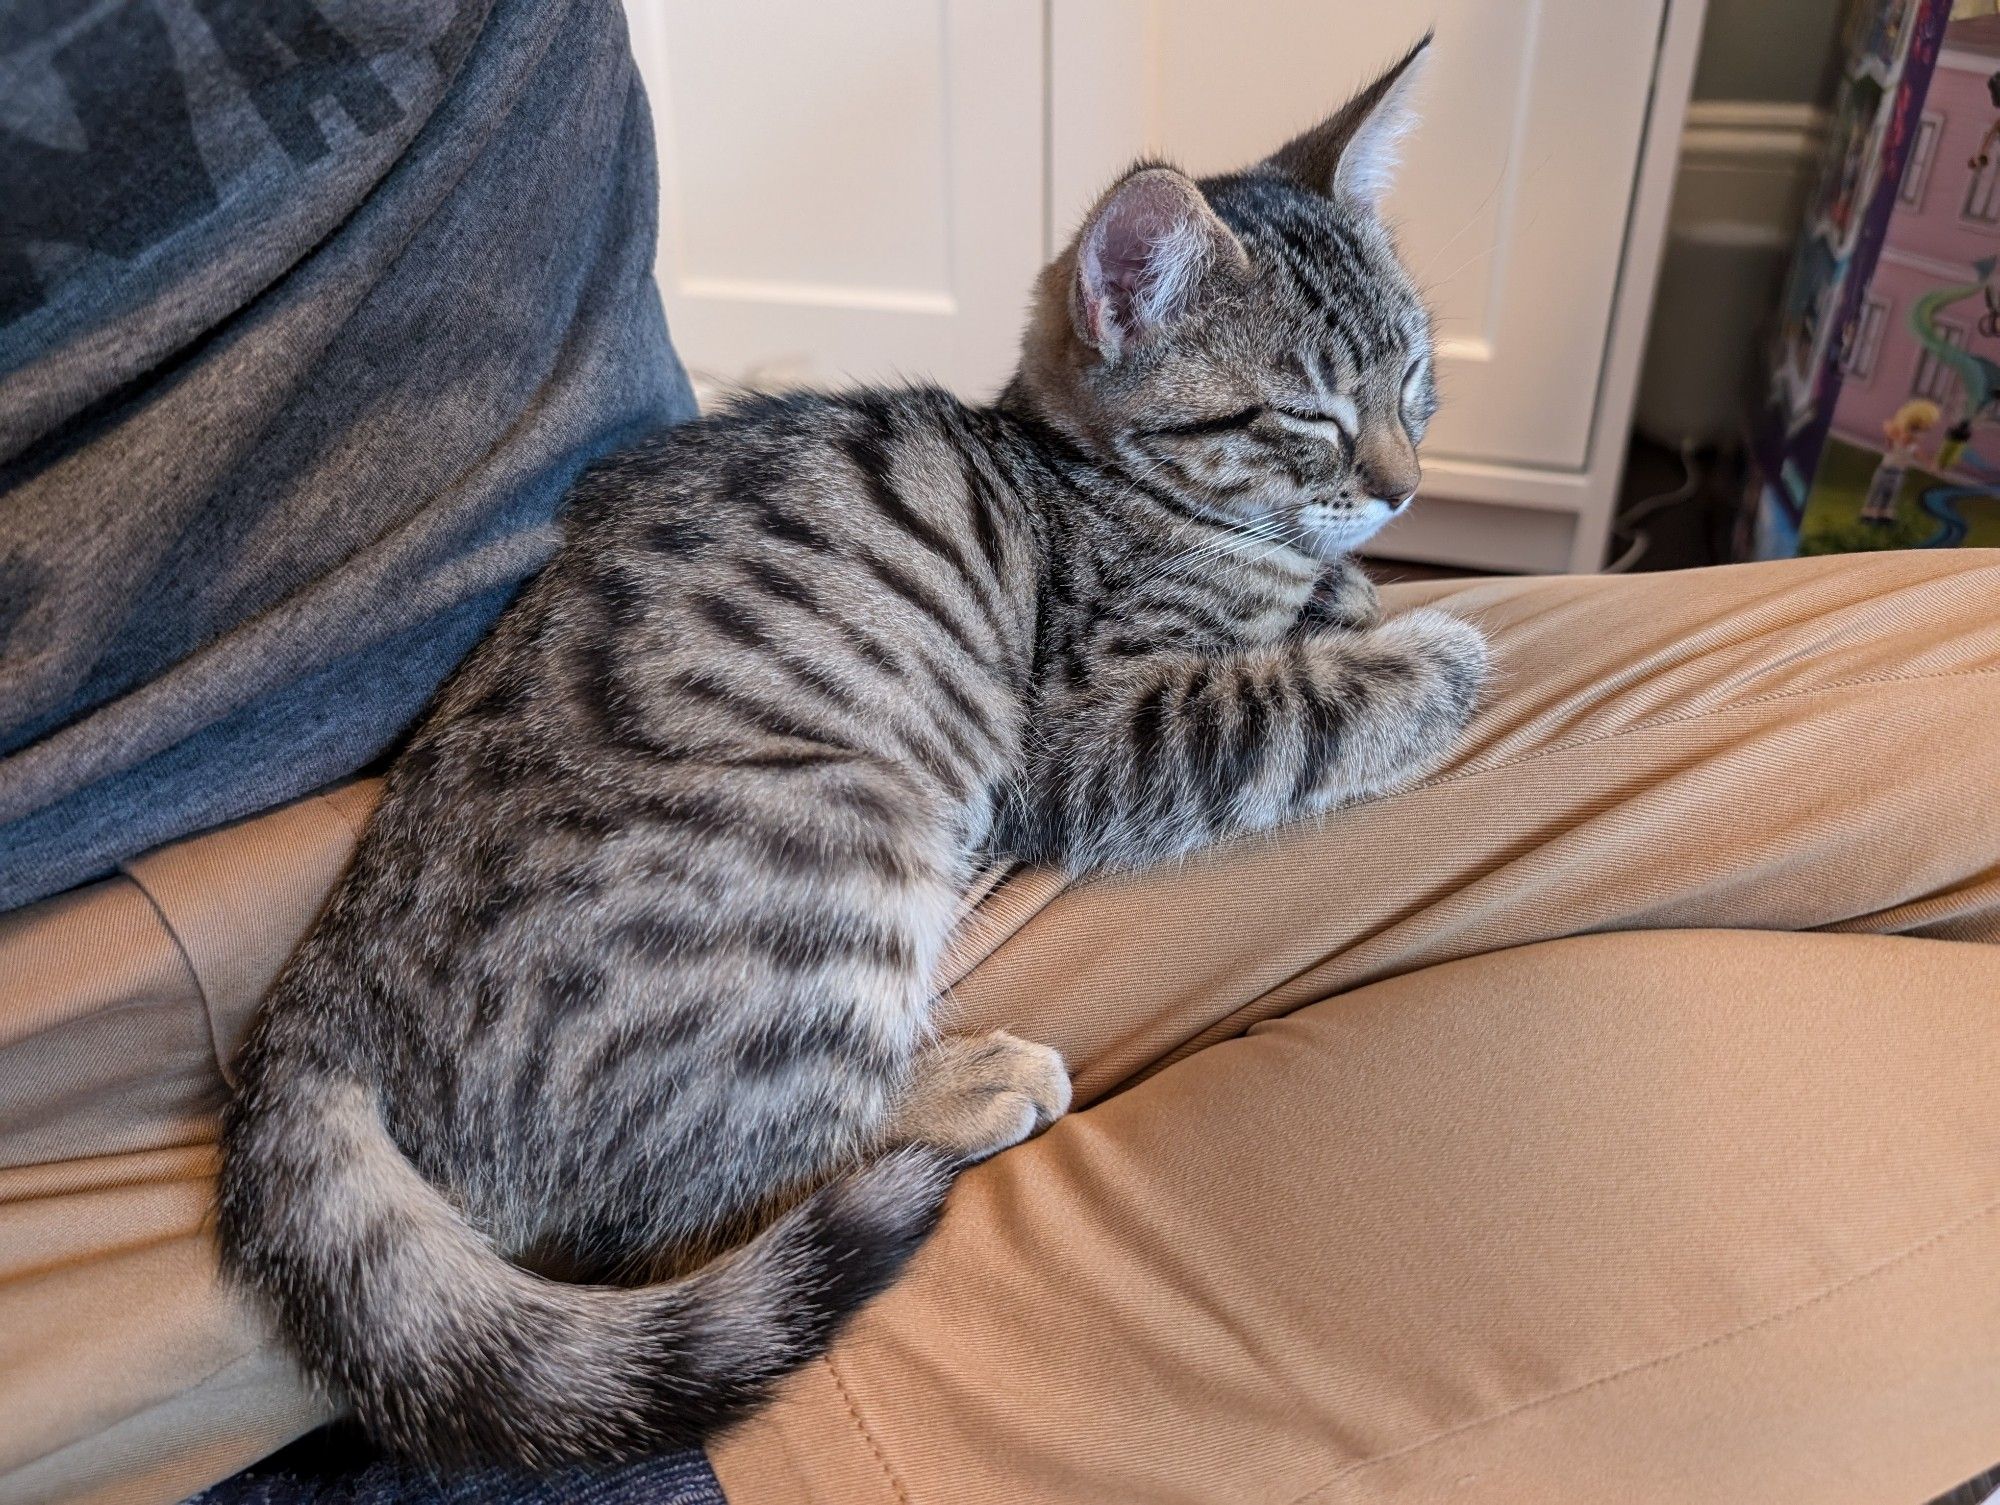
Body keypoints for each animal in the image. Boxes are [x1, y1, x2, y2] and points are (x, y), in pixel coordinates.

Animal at [223, 35, 1488, 1464]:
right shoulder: (1082, 723)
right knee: (661, 1199)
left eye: (1413, 377)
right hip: (836, 822)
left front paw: (1348, 592)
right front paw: (1428, 655)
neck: (1085, 480)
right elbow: (1266, 699)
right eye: (1304, 417)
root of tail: (329, 979)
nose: (1403, 486)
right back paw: (966, 1083)